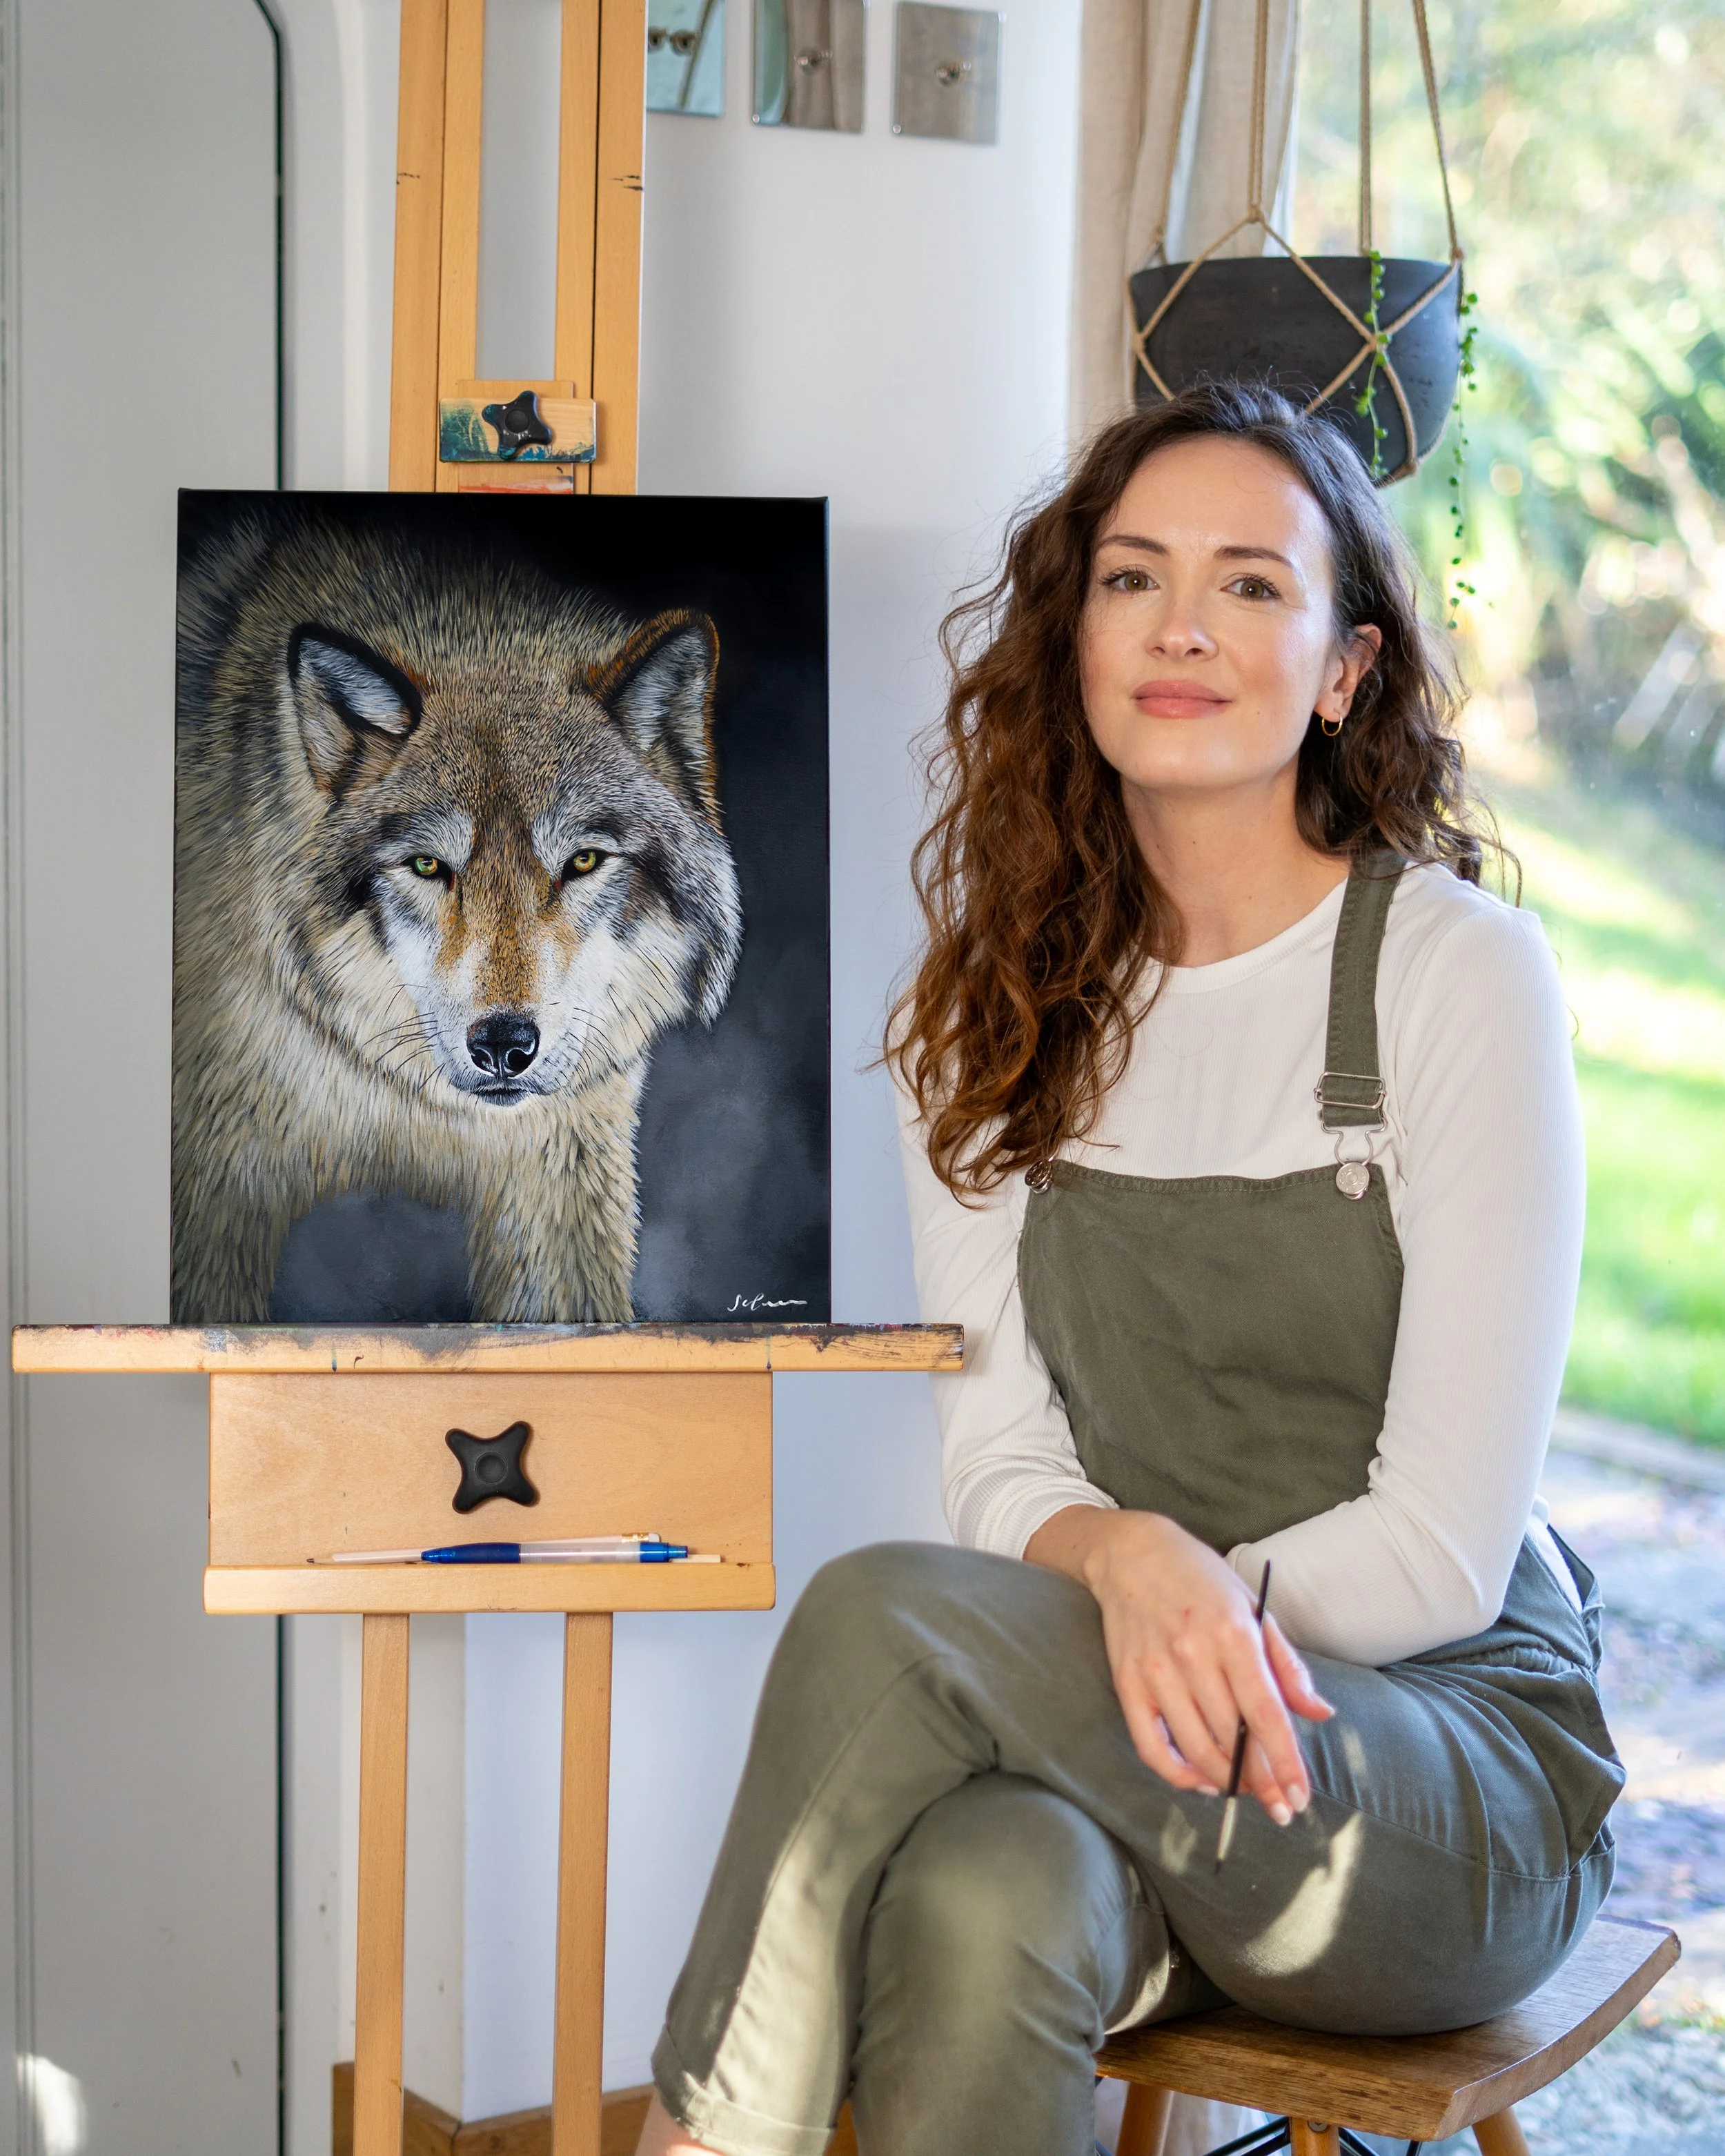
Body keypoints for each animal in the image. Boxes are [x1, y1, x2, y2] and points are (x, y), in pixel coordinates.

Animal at [172, 507, 743, 1323]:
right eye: (428, 867)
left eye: (582, 861)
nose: (504, 1045)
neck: (400, 1102)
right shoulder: (213, 1196)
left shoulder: (561, 1183)